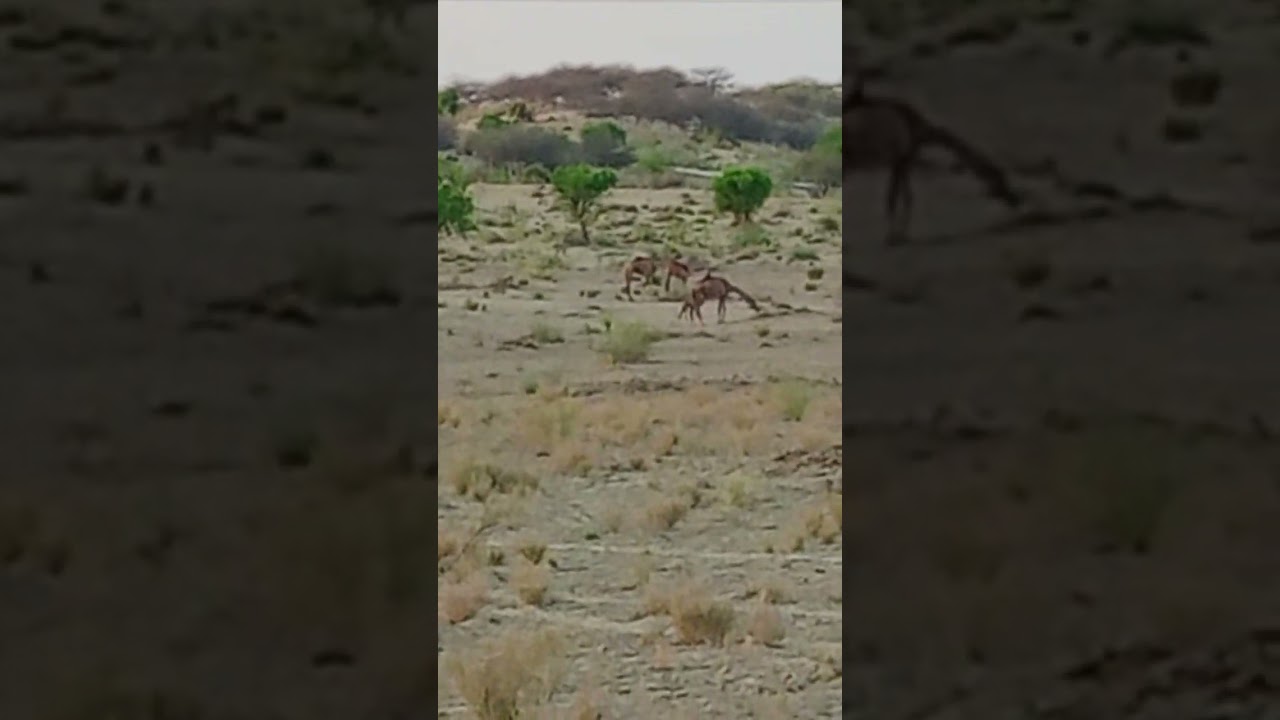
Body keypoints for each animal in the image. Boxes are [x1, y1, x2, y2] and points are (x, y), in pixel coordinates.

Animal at [844, 71, 1022, 245]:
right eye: (999, 178)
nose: (1015, 199)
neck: (921, 130)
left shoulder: (902, 161)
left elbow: (903, 198)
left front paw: (900, 236)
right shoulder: (902, 158)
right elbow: (896, 199)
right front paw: (893, 237)